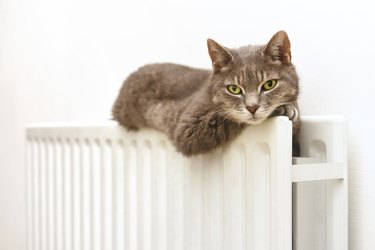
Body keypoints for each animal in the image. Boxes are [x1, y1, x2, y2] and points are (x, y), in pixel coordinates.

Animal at [111, 30, 300, 156]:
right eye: (234, 89)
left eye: (269, 84)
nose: (252, 107)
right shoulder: (187, 128)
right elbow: (229, 118)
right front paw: (283, 109)